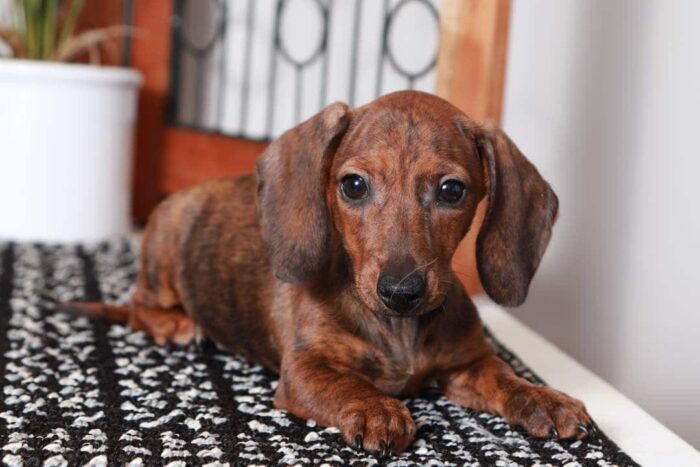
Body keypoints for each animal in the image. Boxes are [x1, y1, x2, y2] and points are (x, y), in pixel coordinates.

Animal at [74, 90, 592, 454]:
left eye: (452, 190)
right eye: (354, 185)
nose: (400, 291)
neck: (398, 330)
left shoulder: (468, 363)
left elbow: (503, 375)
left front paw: (542, 396)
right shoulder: (303, 368)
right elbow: (345, 382)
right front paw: (377, 408)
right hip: (163, 250)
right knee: (140, 304)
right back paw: (176, 324)